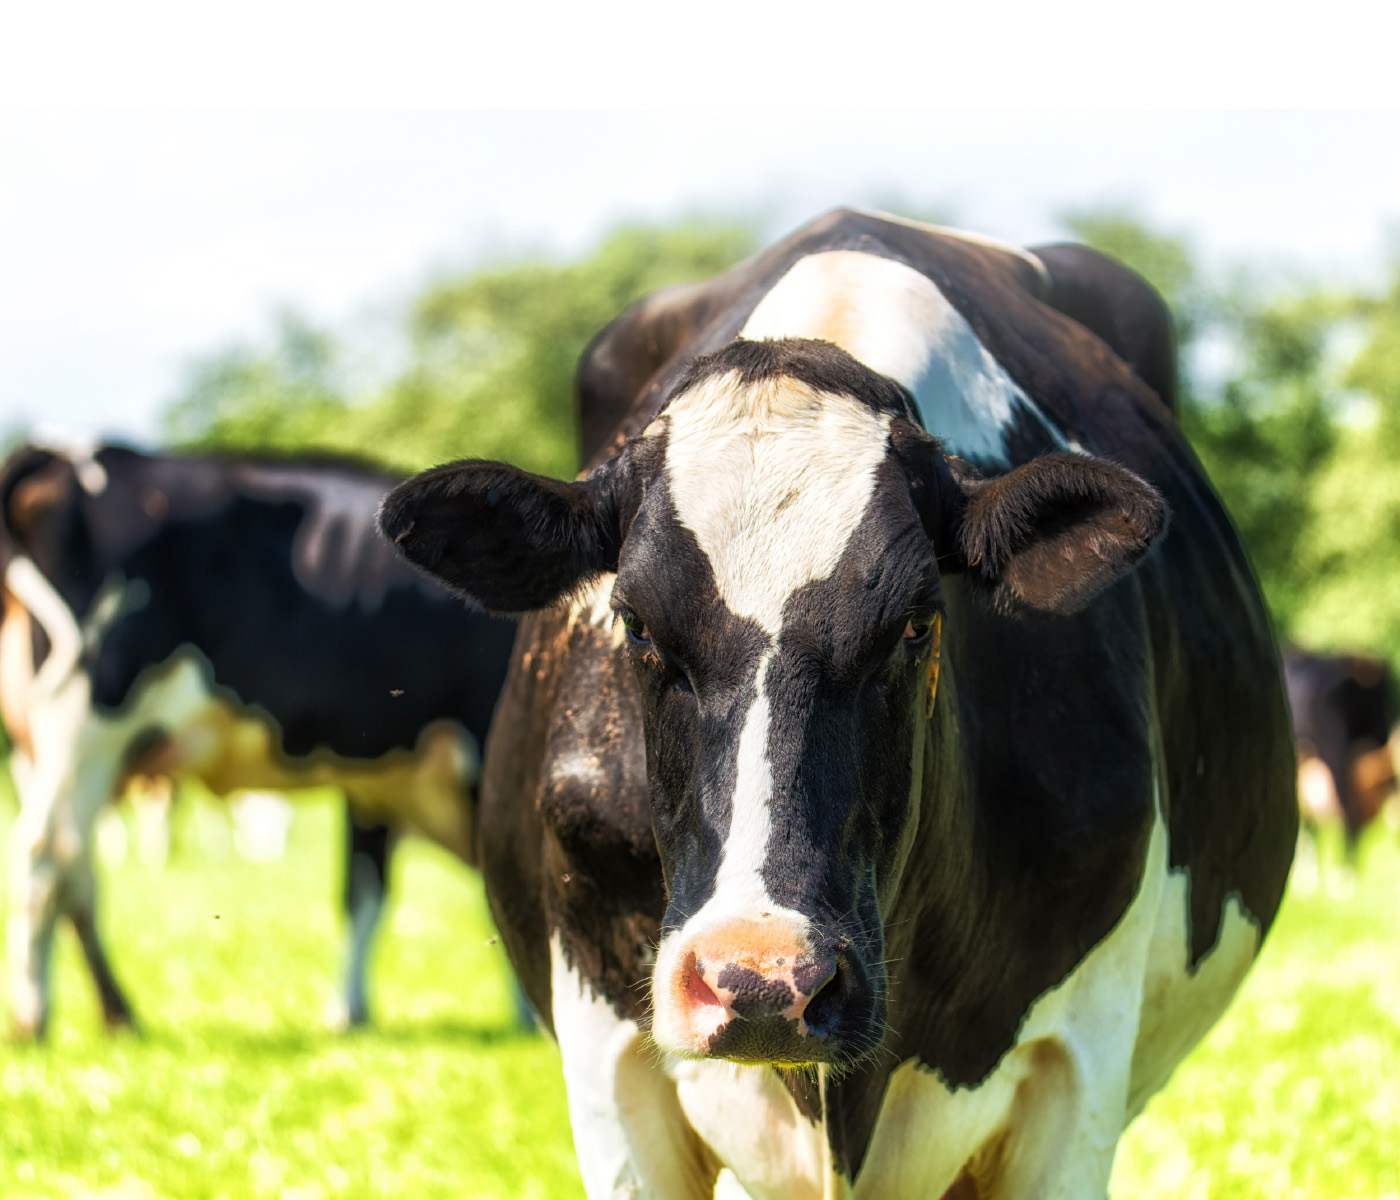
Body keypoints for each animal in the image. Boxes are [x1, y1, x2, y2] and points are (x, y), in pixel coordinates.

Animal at [0, 445, 515, 1036]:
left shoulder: (376, 779)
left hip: (44, 749)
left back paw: (117, 1012)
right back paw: (34, 1016)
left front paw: (350, 1012)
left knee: (76, 869)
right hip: (88, 723)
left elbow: (364, 892)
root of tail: (64, 454)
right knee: (45, 853)